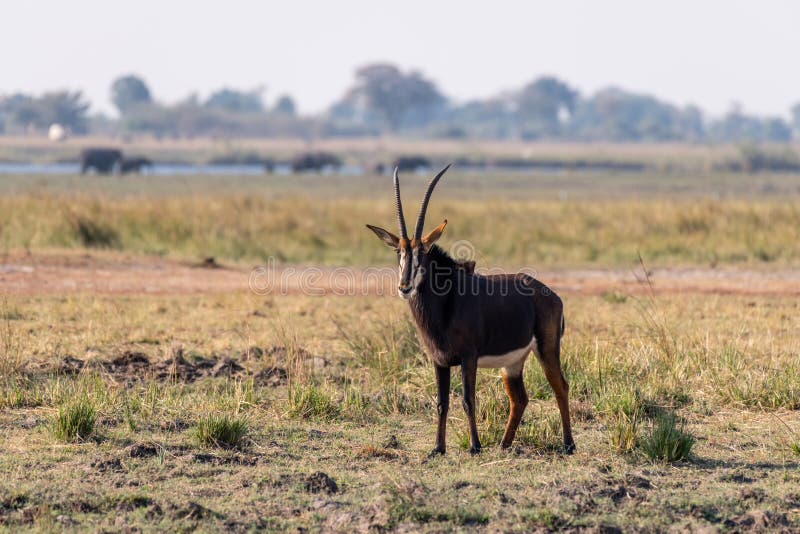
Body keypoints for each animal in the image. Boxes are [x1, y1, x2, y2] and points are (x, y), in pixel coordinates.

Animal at [366, 166, 572, 456]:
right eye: (399, 252)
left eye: (423, 252)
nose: (404, 286)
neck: (446, 303)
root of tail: (553, 296)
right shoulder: (439, 361)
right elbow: (442, 403)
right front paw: (437, 448)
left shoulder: (468, 358)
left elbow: (467, 399)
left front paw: (475, 446)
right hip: (512, 363)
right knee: (520, 399)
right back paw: (504, 445)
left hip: (547, 349)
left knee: (560, 387)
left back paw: (568, 444)